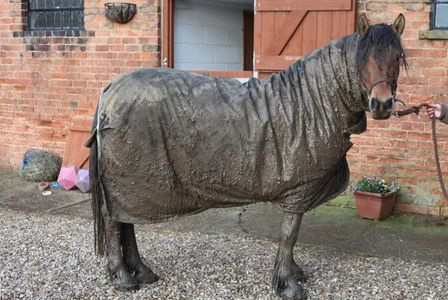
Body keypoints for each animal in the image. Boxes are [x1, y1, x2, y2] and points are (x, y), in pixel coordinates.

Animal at [86, 12, 406, 298]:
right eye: (363, 58)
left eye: (398, 58)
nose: (382, 104)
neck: (313, 101)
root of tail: (109, 90)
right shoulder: (300, 188)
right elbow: (289, 234)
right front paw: (287, 284)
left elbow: (290, 235)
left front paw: (293, 273)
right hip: (125, 181)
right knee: (115, 224)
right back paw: (124, 278)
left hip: (132, 186)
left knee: (127, 222)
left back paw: (142, 271)